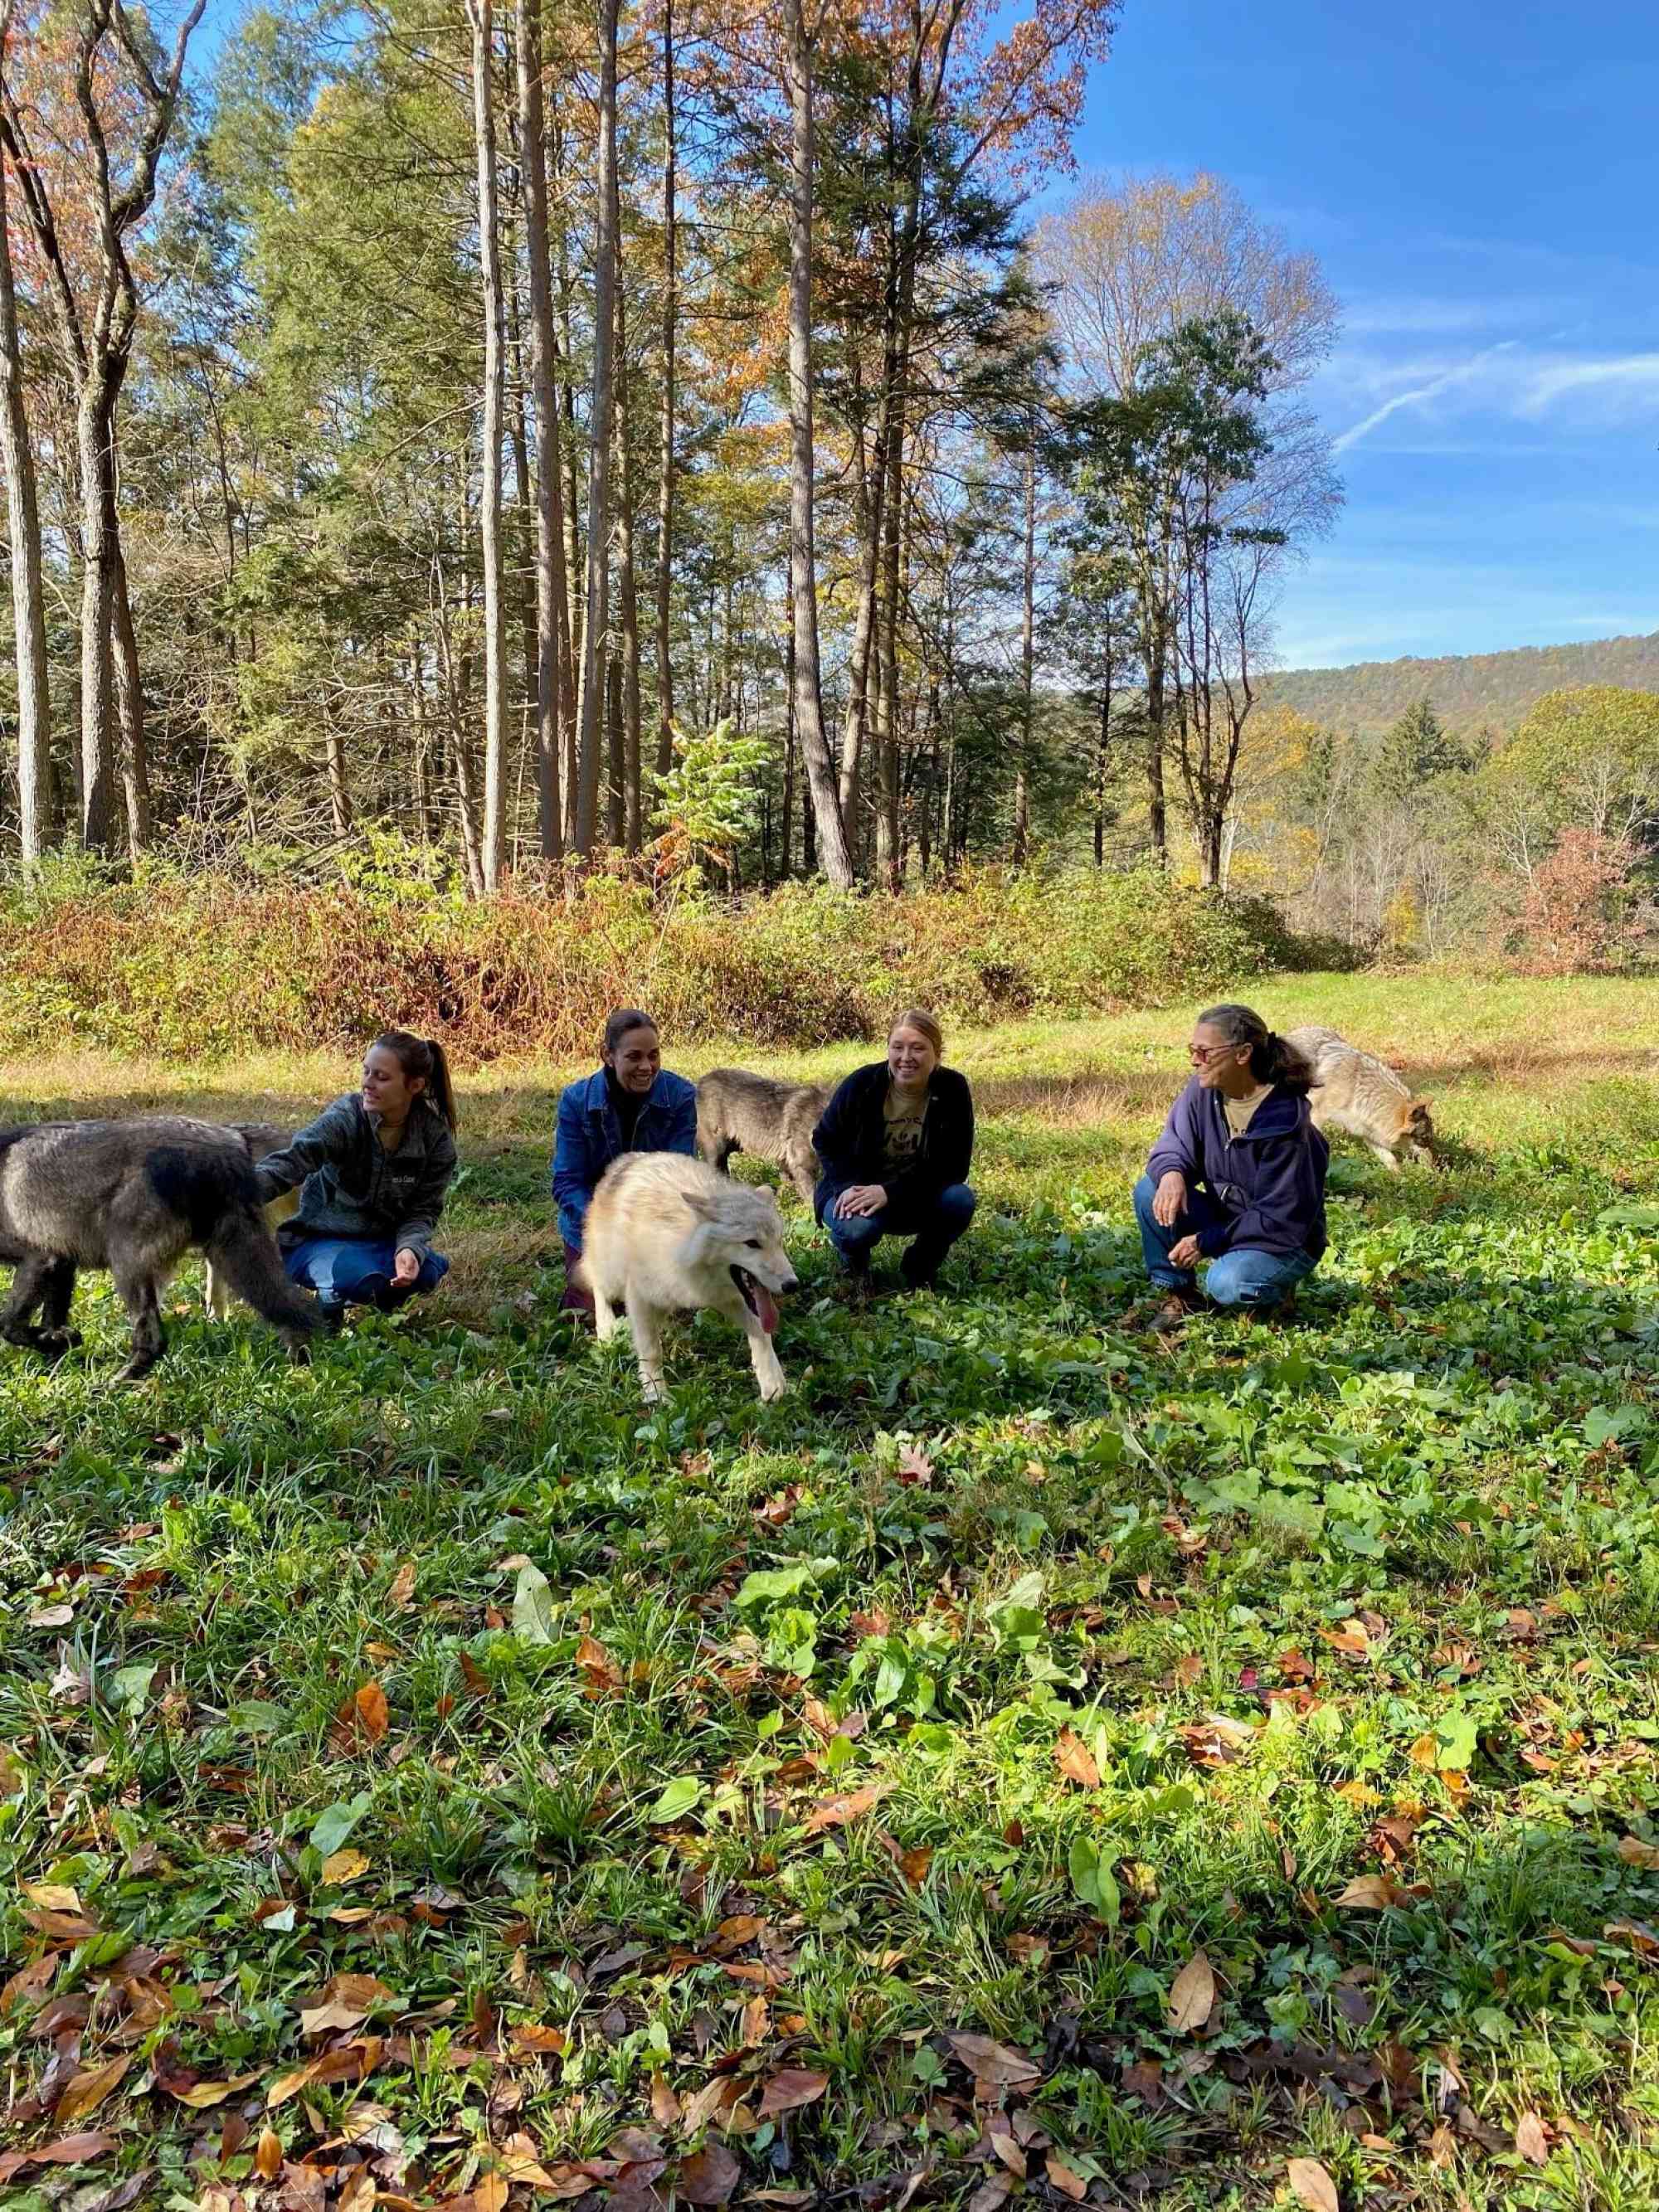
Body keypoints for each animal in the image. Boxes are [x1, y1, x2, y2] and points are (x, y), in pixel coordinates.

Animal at [579, 1150, 800, 1407]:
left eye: (778, 1241)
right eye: (752, 1243)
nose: (792, 1285)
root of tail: (627, 1159)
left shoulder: (725, 1297)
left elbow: (762, 1334)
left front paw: (773, 1384)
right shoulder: (639, 1296)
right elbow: (651, 1351)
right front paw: (656, 1394)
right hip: (612, 1275)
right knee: (596, 1282)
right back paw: (606, 1330)